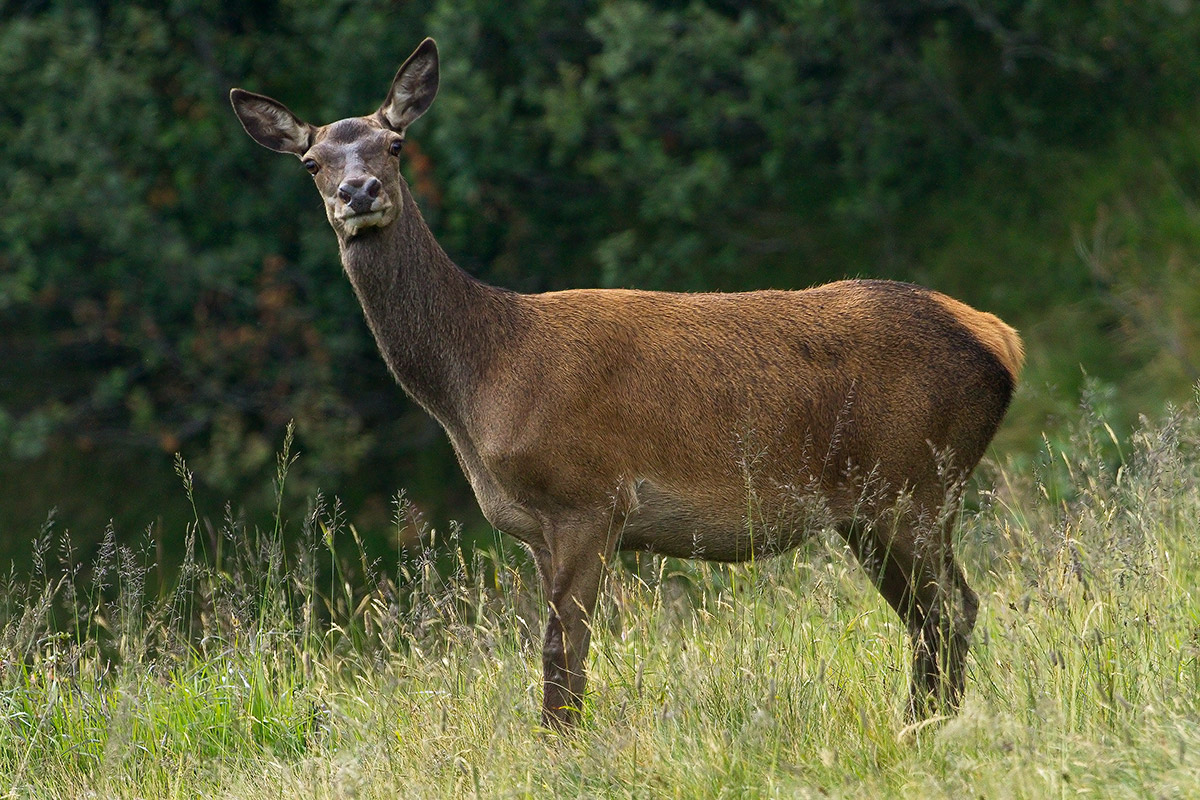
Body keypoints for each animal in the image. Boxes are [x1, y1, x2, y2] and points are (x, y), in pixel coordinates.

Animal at [230, 37, 1023, 730]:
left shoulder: (589, 495)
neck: (479, 380)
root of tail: (1001, 339)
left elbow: (563, 652)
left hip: (907, 479)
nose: (358, 190)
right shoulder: (537, 528)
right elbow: (562, 650)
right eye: (311, 162)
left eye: (393, 144)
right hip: (890, 497)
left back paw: (922, 727)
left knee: (945, 613)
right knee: (945, 612)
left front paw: (560, 747)